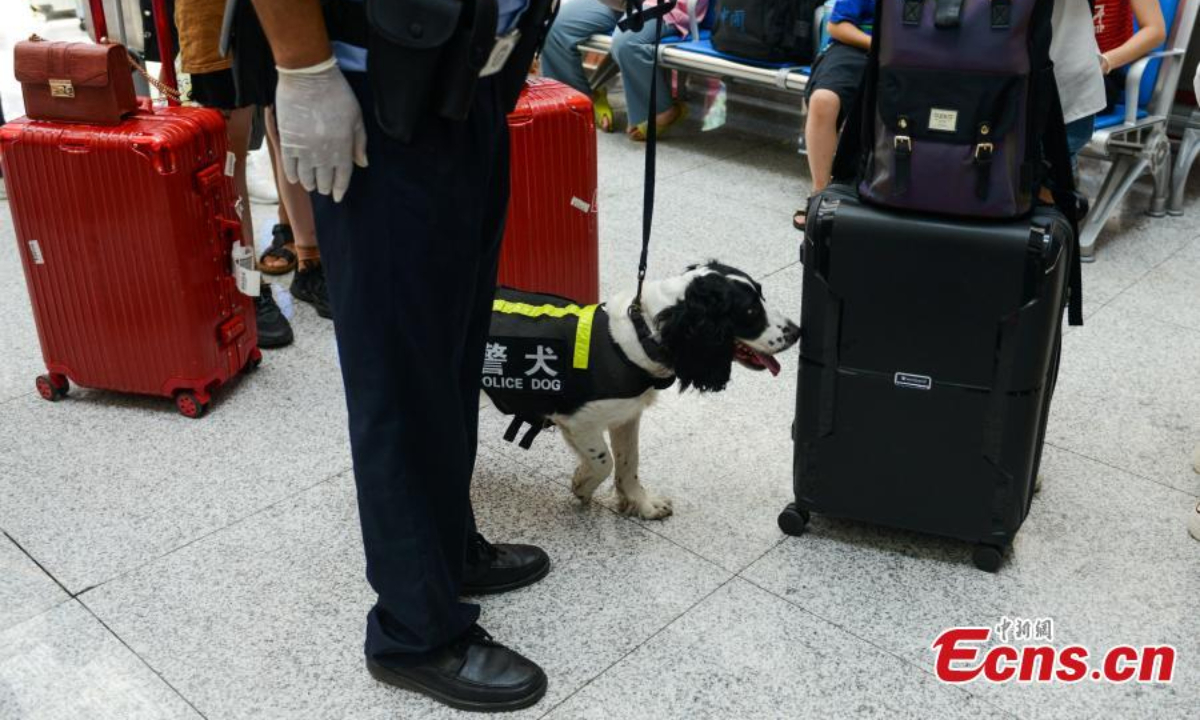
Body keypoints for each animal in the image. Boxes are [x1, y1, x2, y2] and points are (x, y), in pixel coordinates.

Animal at [482, 261, 801, 520]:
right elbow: (605, 461)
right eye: (750, 310)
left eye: (762, 296)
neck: (640, 336)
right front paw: (582, 484)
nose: (797, 332)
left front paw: (642, 504)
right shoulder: (578, 420)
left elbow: (628, 461)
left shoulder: (626, 415)